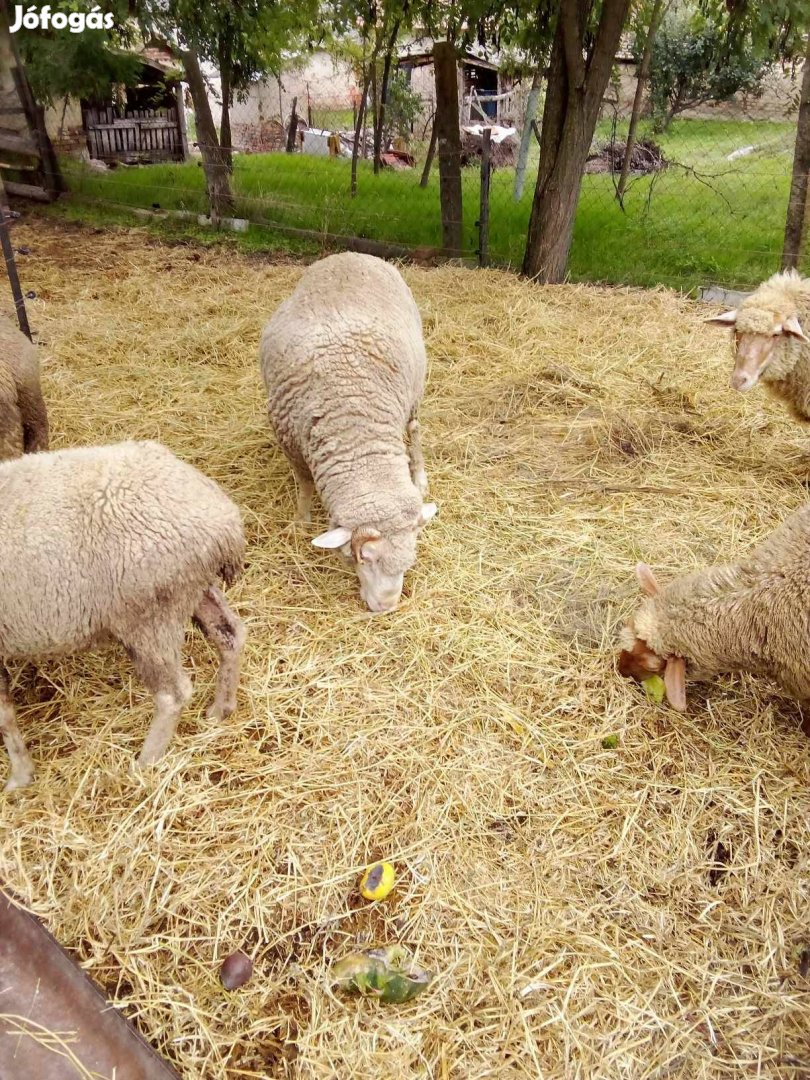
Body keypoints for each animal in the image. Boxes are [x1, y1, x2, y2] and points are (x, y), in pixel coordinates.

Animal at [0, 440, 247, 794]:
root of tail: (225, 521)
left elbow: (3, 714)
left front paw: (19, 776)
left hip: (148, 617)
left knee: (173, 694)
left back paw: (145, 765)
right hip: (192, 589)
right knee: (230, 635)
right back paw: (219, 710)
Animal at [260, 248, 438, 613]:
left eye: (409, 561)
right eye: (363, 558)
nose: (386, 607)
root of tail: (352, 252)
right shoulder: (289, 439)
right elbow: (305, 484)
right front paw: (302, 520)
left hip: (415, 392)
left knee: (414, 430)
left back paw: (419, 475)